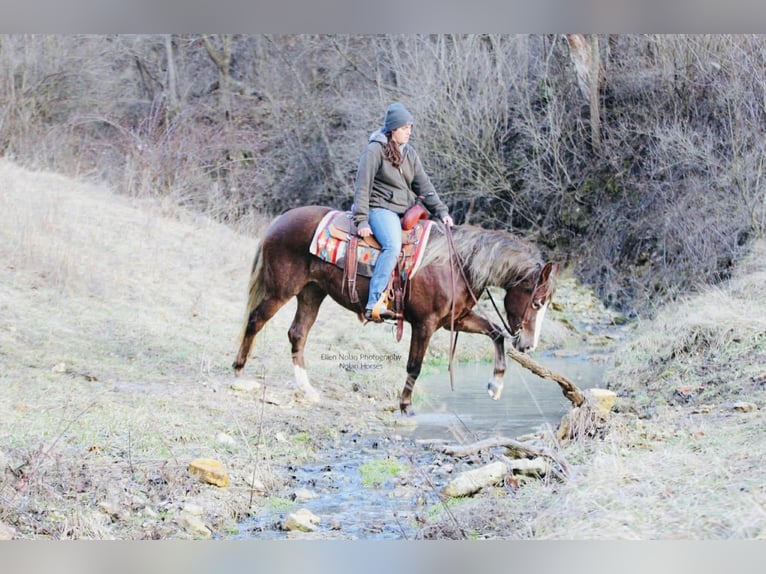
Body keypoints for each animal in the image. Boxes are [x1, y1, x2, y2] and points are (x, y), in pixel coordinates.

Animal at [232, 205, 560, 414]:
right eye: (537, 302)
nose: (528, 345)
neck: (455, 264)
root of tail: (280, 221)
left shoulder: (457, 319)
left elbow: (496, 333)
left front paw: (496, 385)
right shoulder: (425, 324)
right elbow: (415, 365)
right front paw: (405, 406)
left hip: (312, 293)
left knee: (297, 334)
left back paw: (307, 390)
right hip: (281, 290)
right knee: (255, 320)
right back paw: (238, 375)